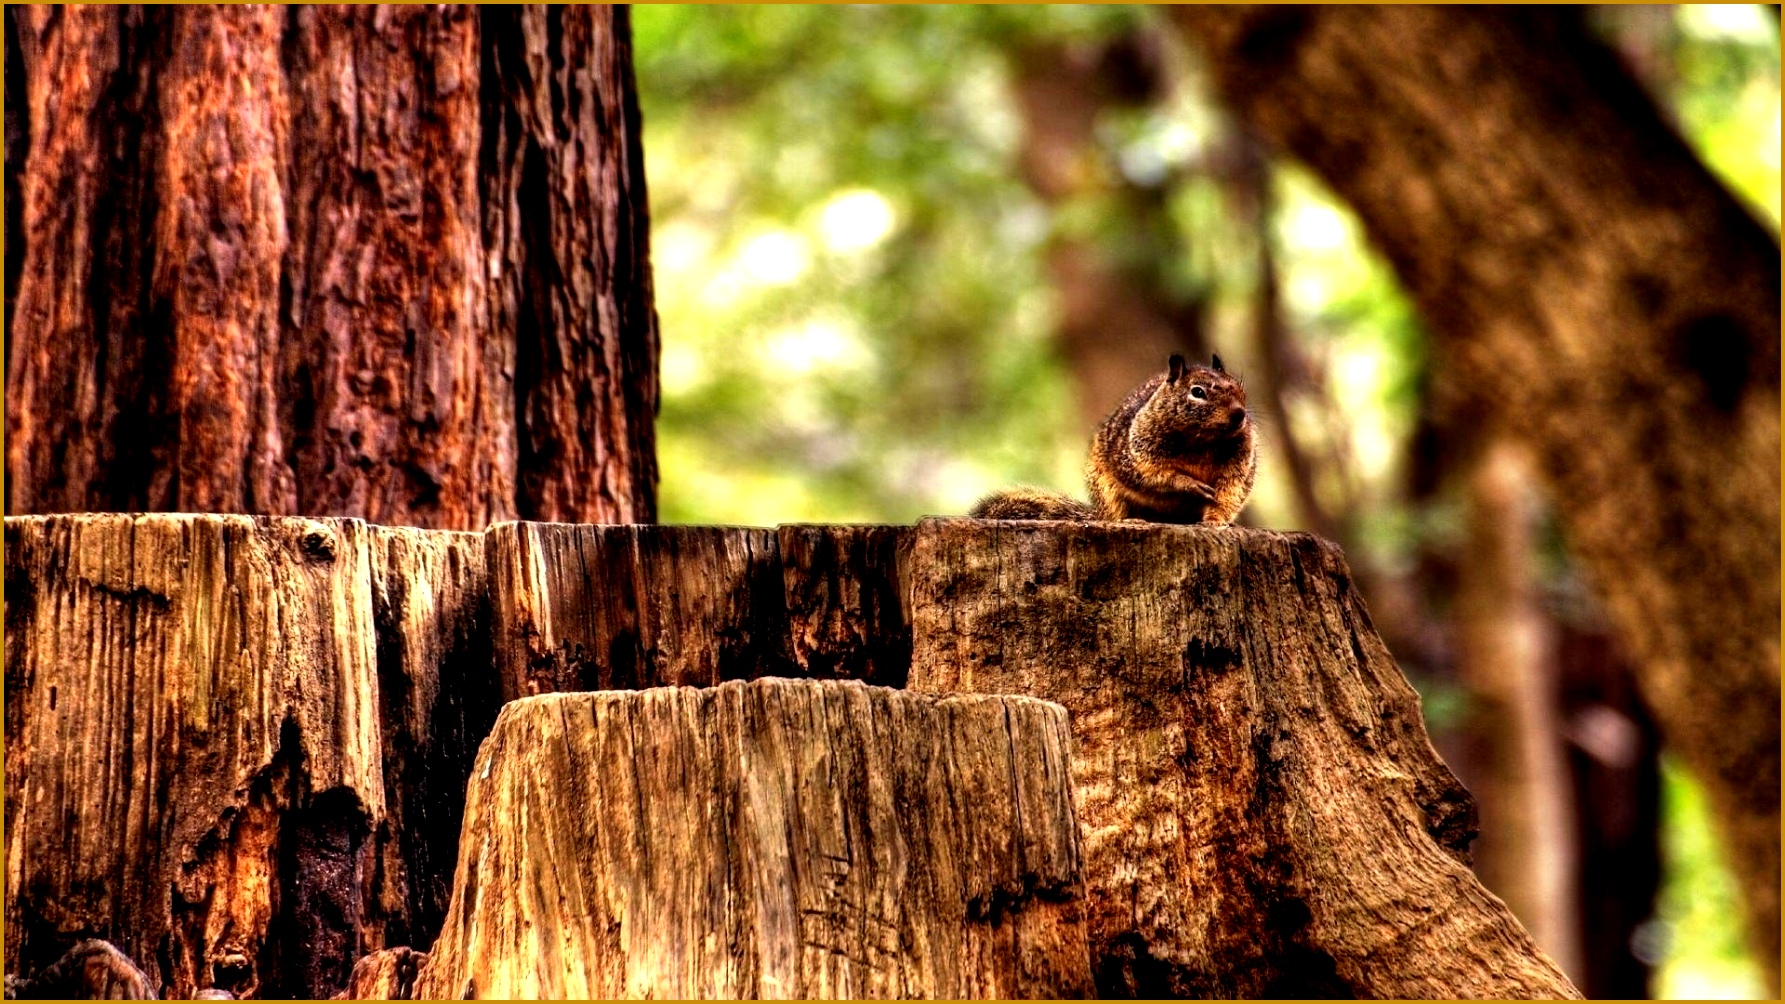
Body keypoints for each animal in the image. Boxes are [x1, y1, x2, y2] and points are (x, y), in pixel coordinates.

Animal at [971, 353, 1257, 525]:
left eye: (1240, 387)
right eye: (1197, 392)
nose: (1239, 414)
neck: (1202, 440)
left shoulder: (1239, 463)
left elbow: (1229, 492)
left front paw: (1217, 521)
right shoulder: (1136, 452)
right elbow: (1152, 475)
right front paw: (1188, 484)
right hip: (1106, 490)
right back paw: (1131, 521)